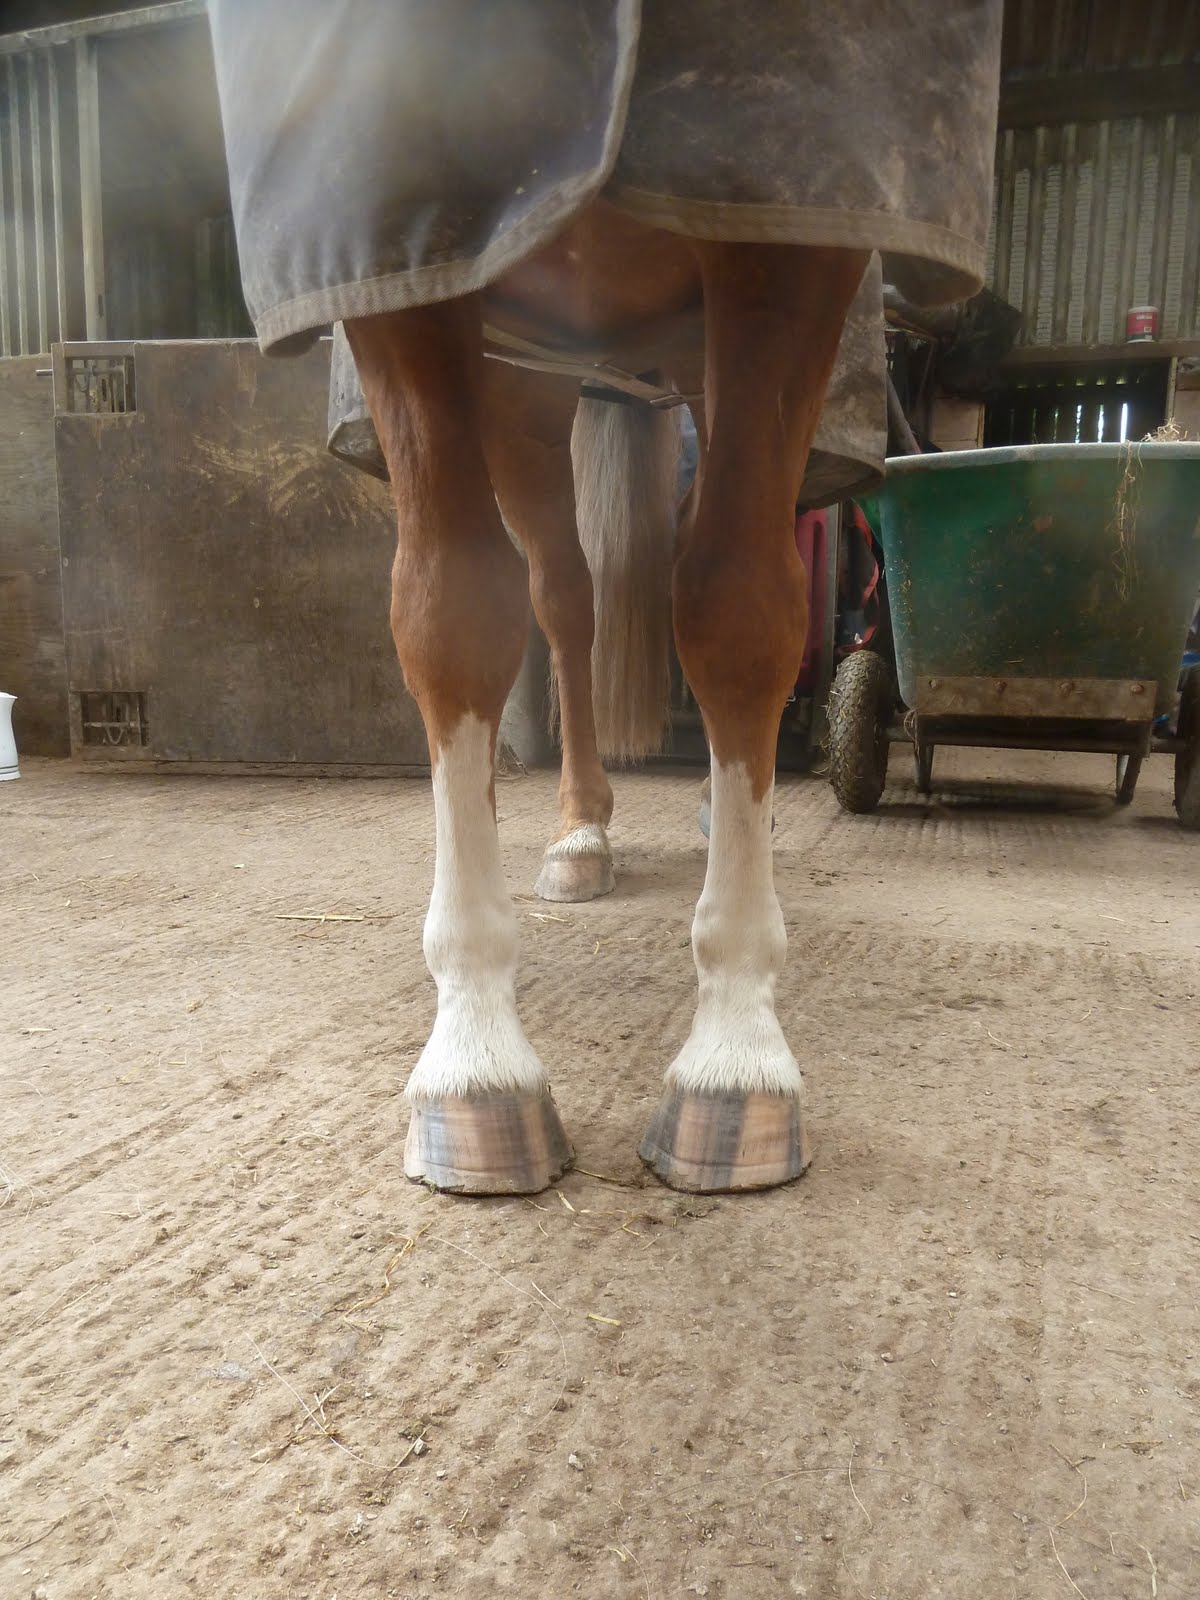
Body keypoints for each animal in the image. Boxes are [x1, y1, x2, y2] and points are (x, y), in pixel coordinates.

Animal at [208, 0, 1002, 1197]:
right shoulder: (408, 256)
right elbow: (451, 610)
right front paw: (476, 1063)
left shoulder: (789, 228)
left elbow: (736, 608)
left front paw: (734, 1055)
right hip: (528, 393)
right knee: (560, 597)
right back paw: (574, 829)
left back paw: (715, 805)